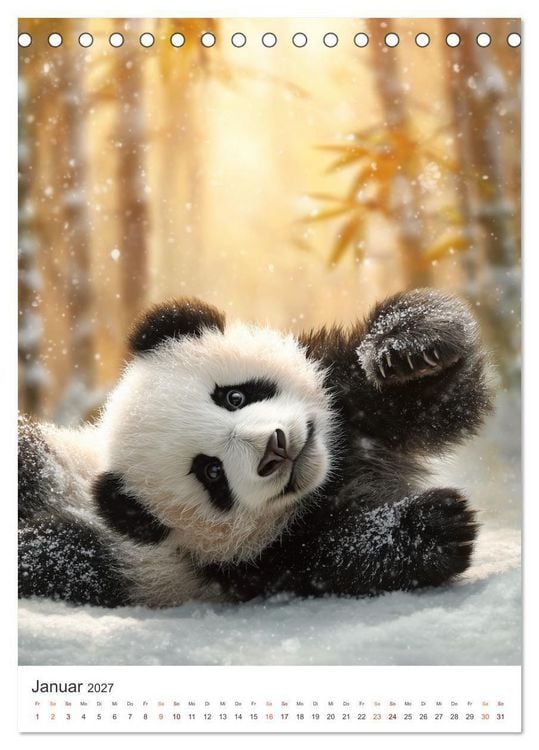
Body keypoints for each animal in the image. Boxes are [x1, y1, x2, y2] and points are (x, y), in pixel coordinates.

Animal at [18, 288, 492, 608]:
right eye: (211, 472)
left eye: (234, 397)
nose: (275, 449)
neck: (331, 475)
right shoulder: (251, 565)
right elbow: (334, 558)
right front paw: (435, 526)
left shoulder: (345, 403)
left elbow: (442, 398)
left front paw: (408, 347)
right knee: (66, 556)